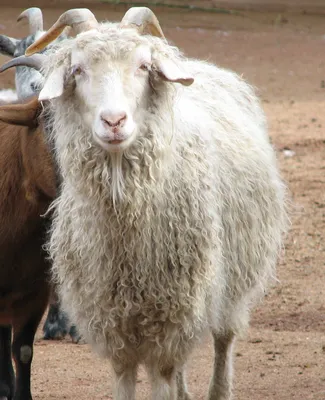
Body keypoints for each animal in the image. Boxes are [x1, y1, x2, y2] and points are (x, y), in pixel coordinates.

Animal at [26, 6, 288, 400]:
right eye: (78, 69)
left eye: (142, 66)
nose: (114, 121)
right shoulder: (114, 321)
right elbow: (127, 378)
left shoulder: (174, 313)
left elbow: (166, 375)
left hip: (232, 278)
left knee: (224, 339)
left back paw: (219, 388)